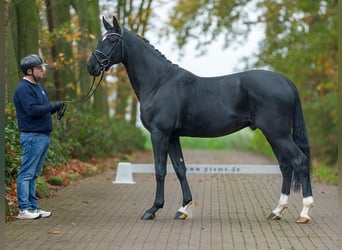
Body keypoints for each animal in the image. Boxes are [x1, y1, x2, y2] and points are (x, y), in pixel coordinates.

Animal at [87, 16, 312, 224]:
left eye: (112, 40)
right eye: (100, 39)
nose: (91, 67)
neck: (160, 82)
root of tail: (285, 81)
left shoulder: (159, 134)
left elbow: (160, 170)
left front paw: (153, 210)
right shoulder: (172, 136)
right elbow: (180, 169)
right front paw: (183, 208)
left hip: (278, 134)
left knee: (299, 162)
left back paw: (304, 213)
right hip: (274, 135)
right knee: (286, 166)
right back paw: (277, 211)